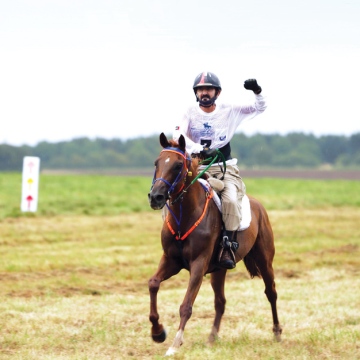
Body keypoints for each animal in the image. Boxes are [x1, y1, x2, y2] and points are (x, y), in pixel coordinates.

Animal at [148, 133, 282, 358]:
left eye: (177, 165)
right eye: (157, 162)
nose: (156, 196)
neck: (185, 216)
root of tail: (258, 206)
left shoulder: (198, 265)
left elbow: (186, 305)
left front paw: (175, 344)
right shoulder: (170, 261)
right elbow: (153, 284)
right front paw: (158, 332)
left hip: (265, 261)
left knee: (271, 292)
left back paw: (277, 332)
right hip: (219, 269)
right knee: (220, 302)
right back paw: (212, 338)